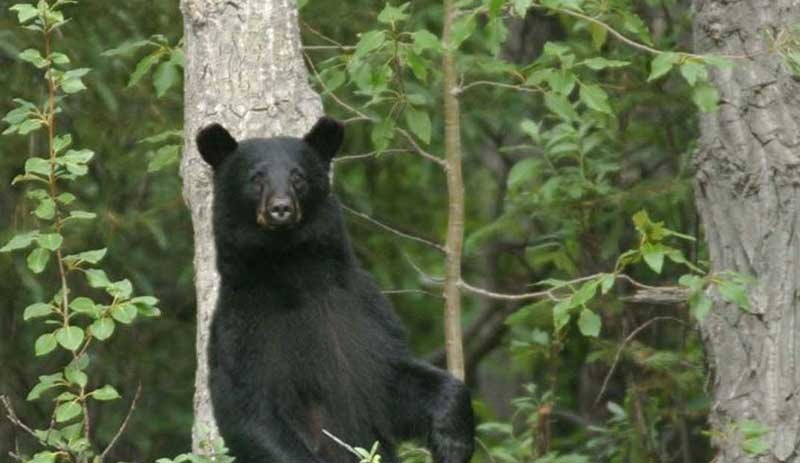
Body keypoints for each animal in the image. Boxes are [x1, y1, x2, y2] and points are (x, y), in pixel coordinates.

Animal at [198, 118, 476, 463]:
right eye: (256, 177)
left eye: (298, 176)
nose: (281, 208)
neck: (296, 272)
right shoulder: (244, 330)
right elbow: (252, 414)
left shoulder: (363, 311)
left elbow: (393, 380)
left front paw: (452, 440)